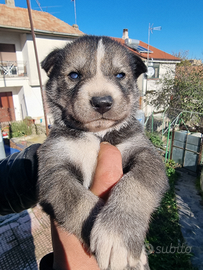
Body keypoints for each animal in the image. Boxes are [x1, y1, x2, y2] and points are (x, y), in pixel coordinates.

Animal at [38, 35, 168, 270]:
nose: (102, 102)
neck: (97, 136)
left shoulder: (146, 154)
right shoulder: (53, 170)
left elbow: (135, 184)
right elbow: (78, 201)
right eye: (74, 75)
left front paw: (117, 234)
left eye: (120, 75)